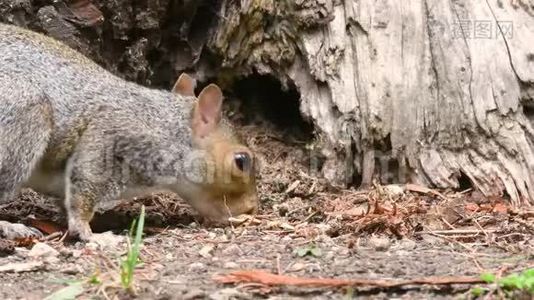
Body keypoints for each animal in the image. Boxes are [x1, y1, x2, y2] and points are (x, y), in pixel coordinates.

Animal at [0, 22, 260, 240]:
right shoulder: (111, 135)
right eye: (241, 161)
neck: (164, 127)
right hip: (27, 118)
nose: (251, 209)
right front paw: (87, 231)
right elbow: (84, 188)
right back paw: (11, 227)